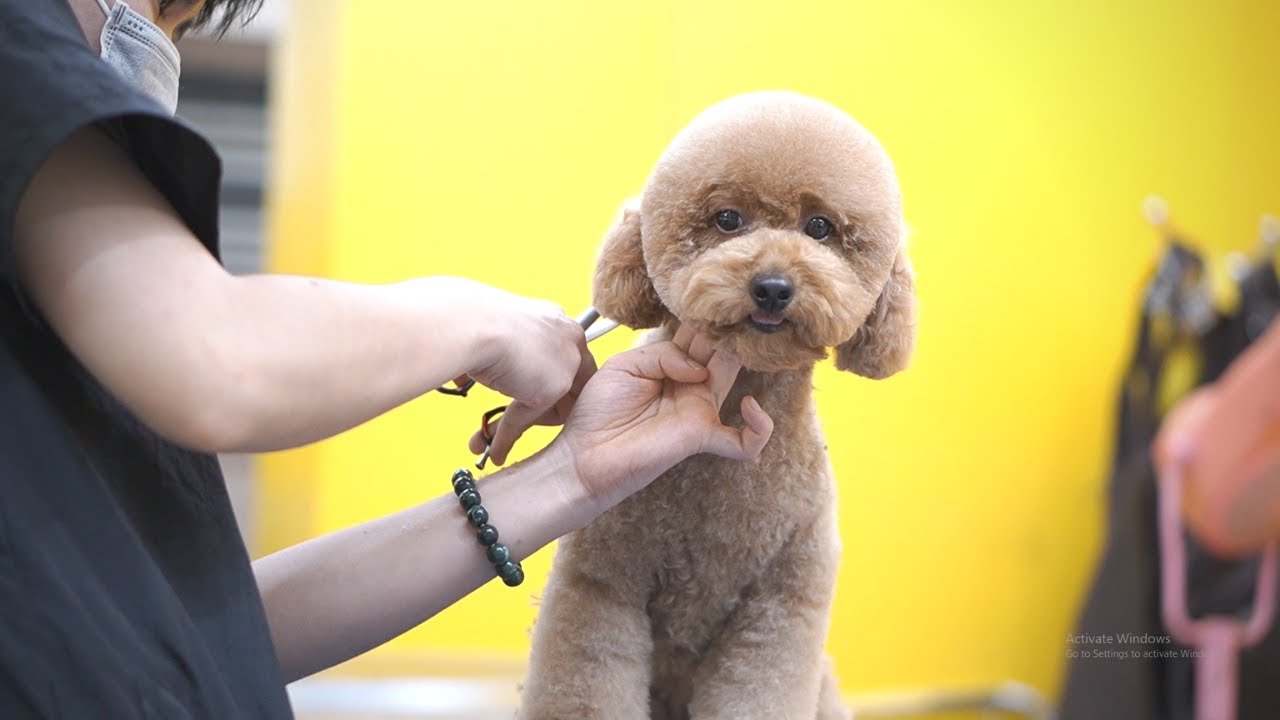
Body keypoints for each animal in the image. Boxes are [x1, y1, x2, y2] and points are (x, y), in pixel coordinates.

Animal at [514, 89, 916, 717]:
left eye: (820, 227)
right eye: (728, 219)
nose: (772, 287)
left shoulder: (782, 606)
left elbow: (759, 689)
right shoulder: (600, 583)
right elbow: (584, 683)